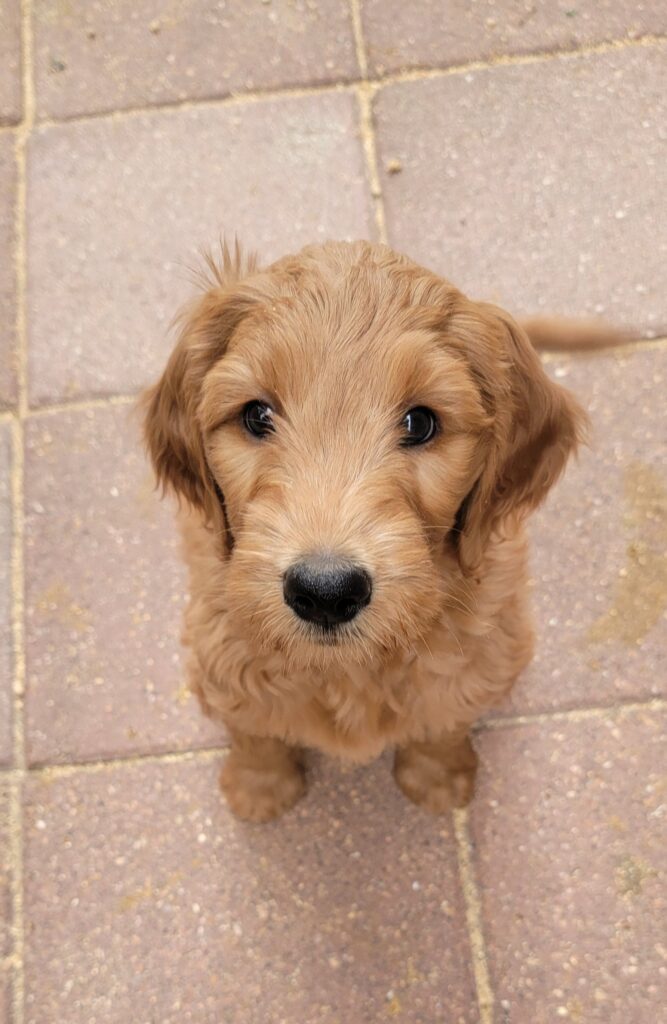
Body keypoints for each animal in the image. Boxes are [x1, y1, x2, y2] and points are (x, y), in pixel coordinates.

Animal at [143, 239, 586, 823]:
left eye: (420, 423)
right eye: (257, 415)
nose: (326, 592)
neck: (349, 670)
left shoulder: (485, 649)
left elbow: (445, 716)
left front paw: (439, 777)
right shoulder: (216, 644)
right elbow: (253, 729)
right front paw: (259, 788)